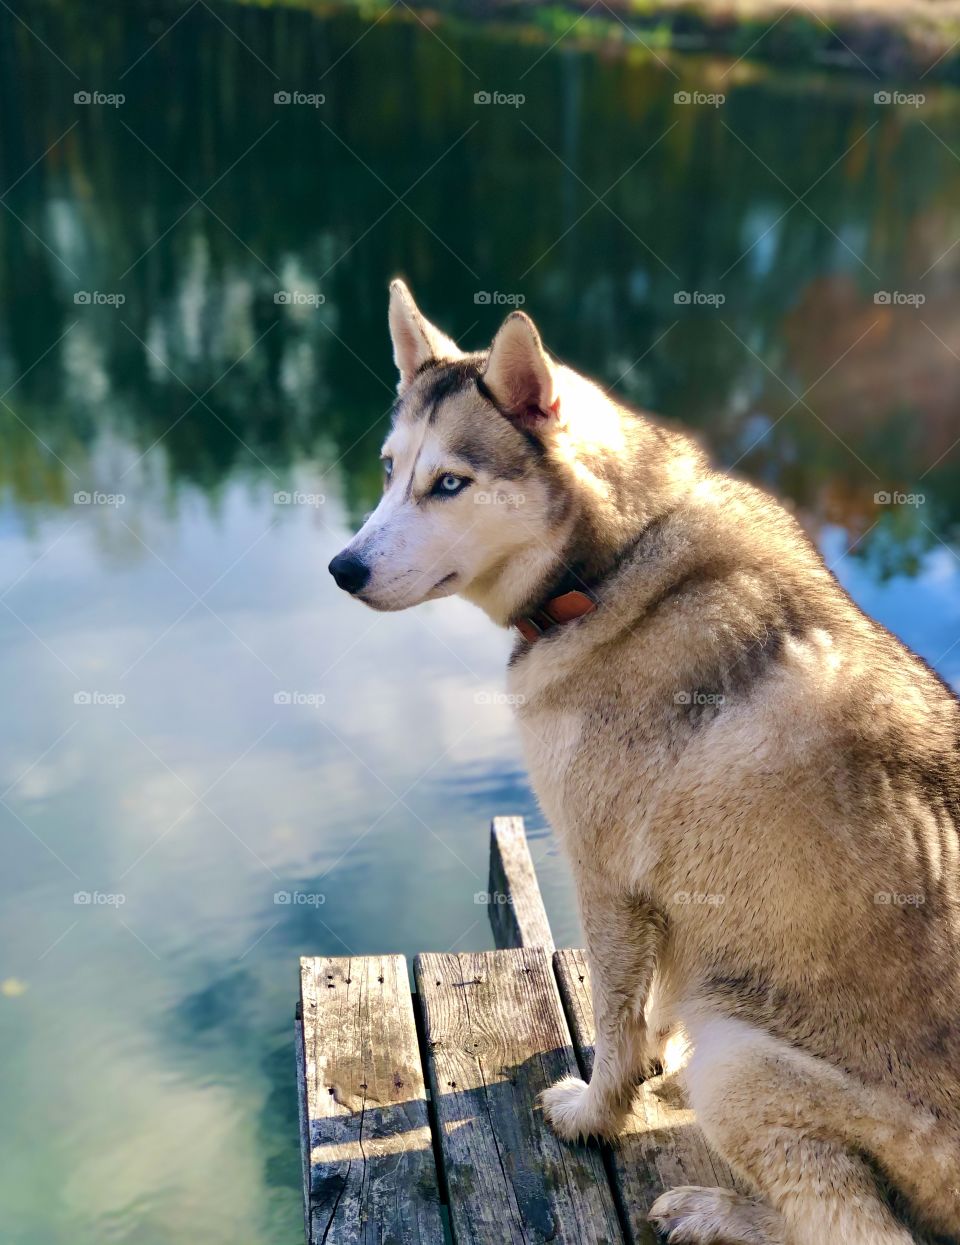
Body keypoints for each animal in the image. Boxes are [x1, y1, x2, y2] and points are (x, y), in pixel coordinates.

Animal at [328, 282, 960, 1245]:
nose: (342, 567)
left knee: (857, 1232)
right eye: (392, 468)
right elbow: (656, 1000)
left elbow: (615, 1019)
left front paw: (597, 1109)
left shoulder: (605, 872)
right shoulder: (676, 899)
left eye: (450, 483)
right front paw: (652, 1053)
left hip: (741, 1061)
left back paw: (715, 1209)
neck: (613, 565)